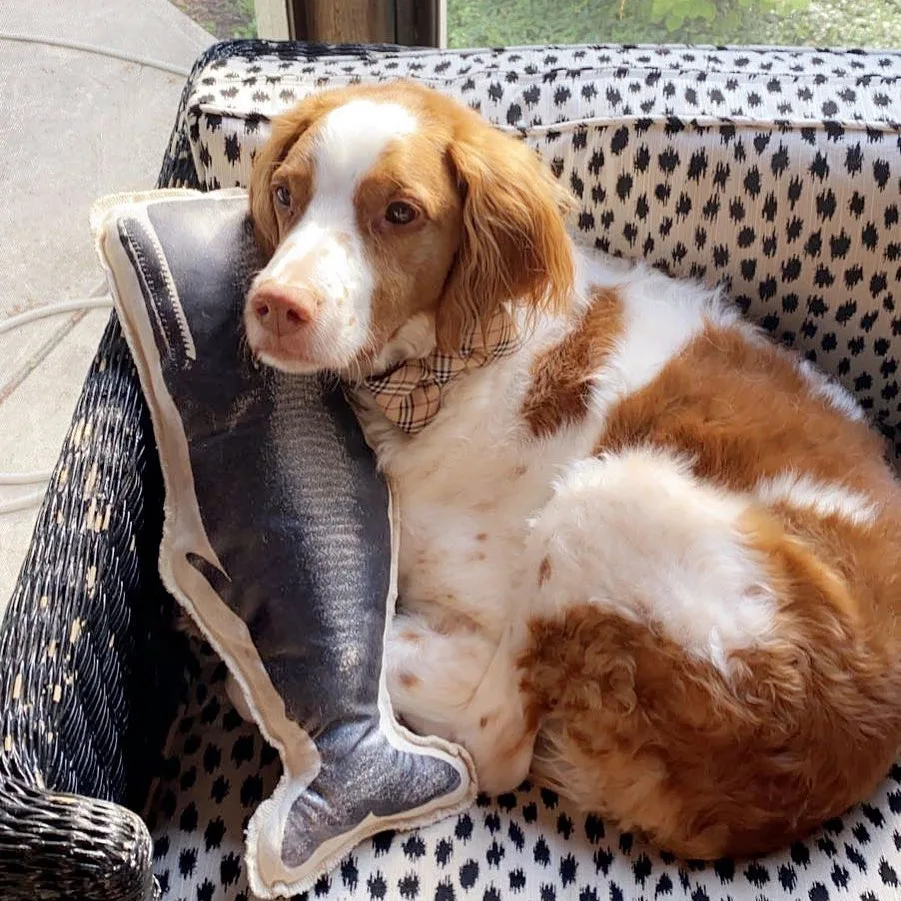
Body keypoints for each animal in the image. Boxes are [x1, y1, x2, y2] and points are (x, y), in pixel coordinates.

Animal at [243, 82, 900, 856]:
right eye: (286, 193)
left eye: (400, 213)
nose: (275, 305)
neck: (447, 370)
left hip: (615, 492)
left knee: (495, 738)